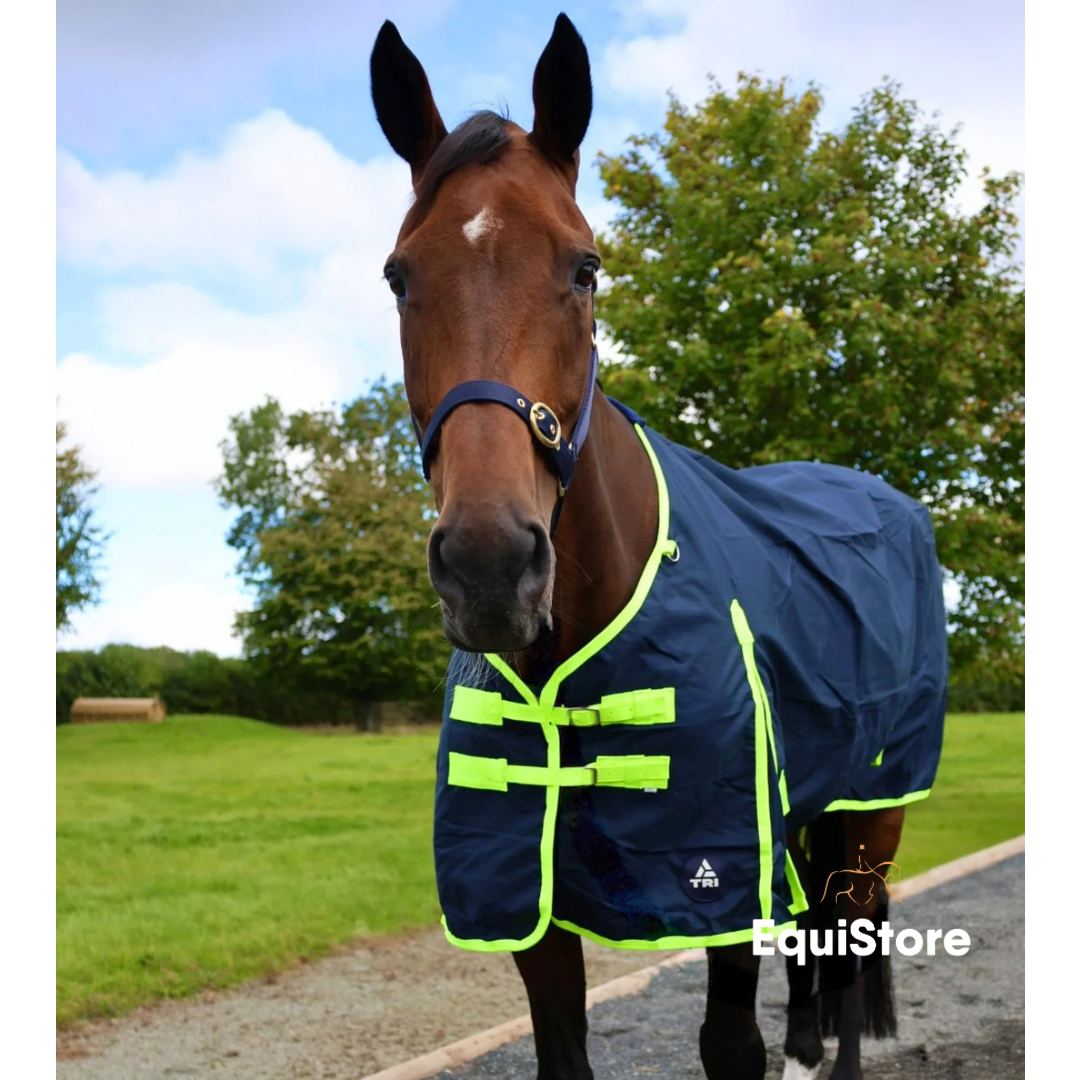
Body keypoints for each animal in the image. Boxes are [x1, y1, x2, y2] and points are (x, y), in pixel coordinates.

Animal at [369, 15, 947, 1080]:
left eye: (585, 267)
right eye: (400, 275)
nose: (489, 566)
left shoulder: (716, 873)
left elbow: (730, 1042)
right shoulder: (530, 897)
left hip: (872, 815)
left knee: (847, 953)